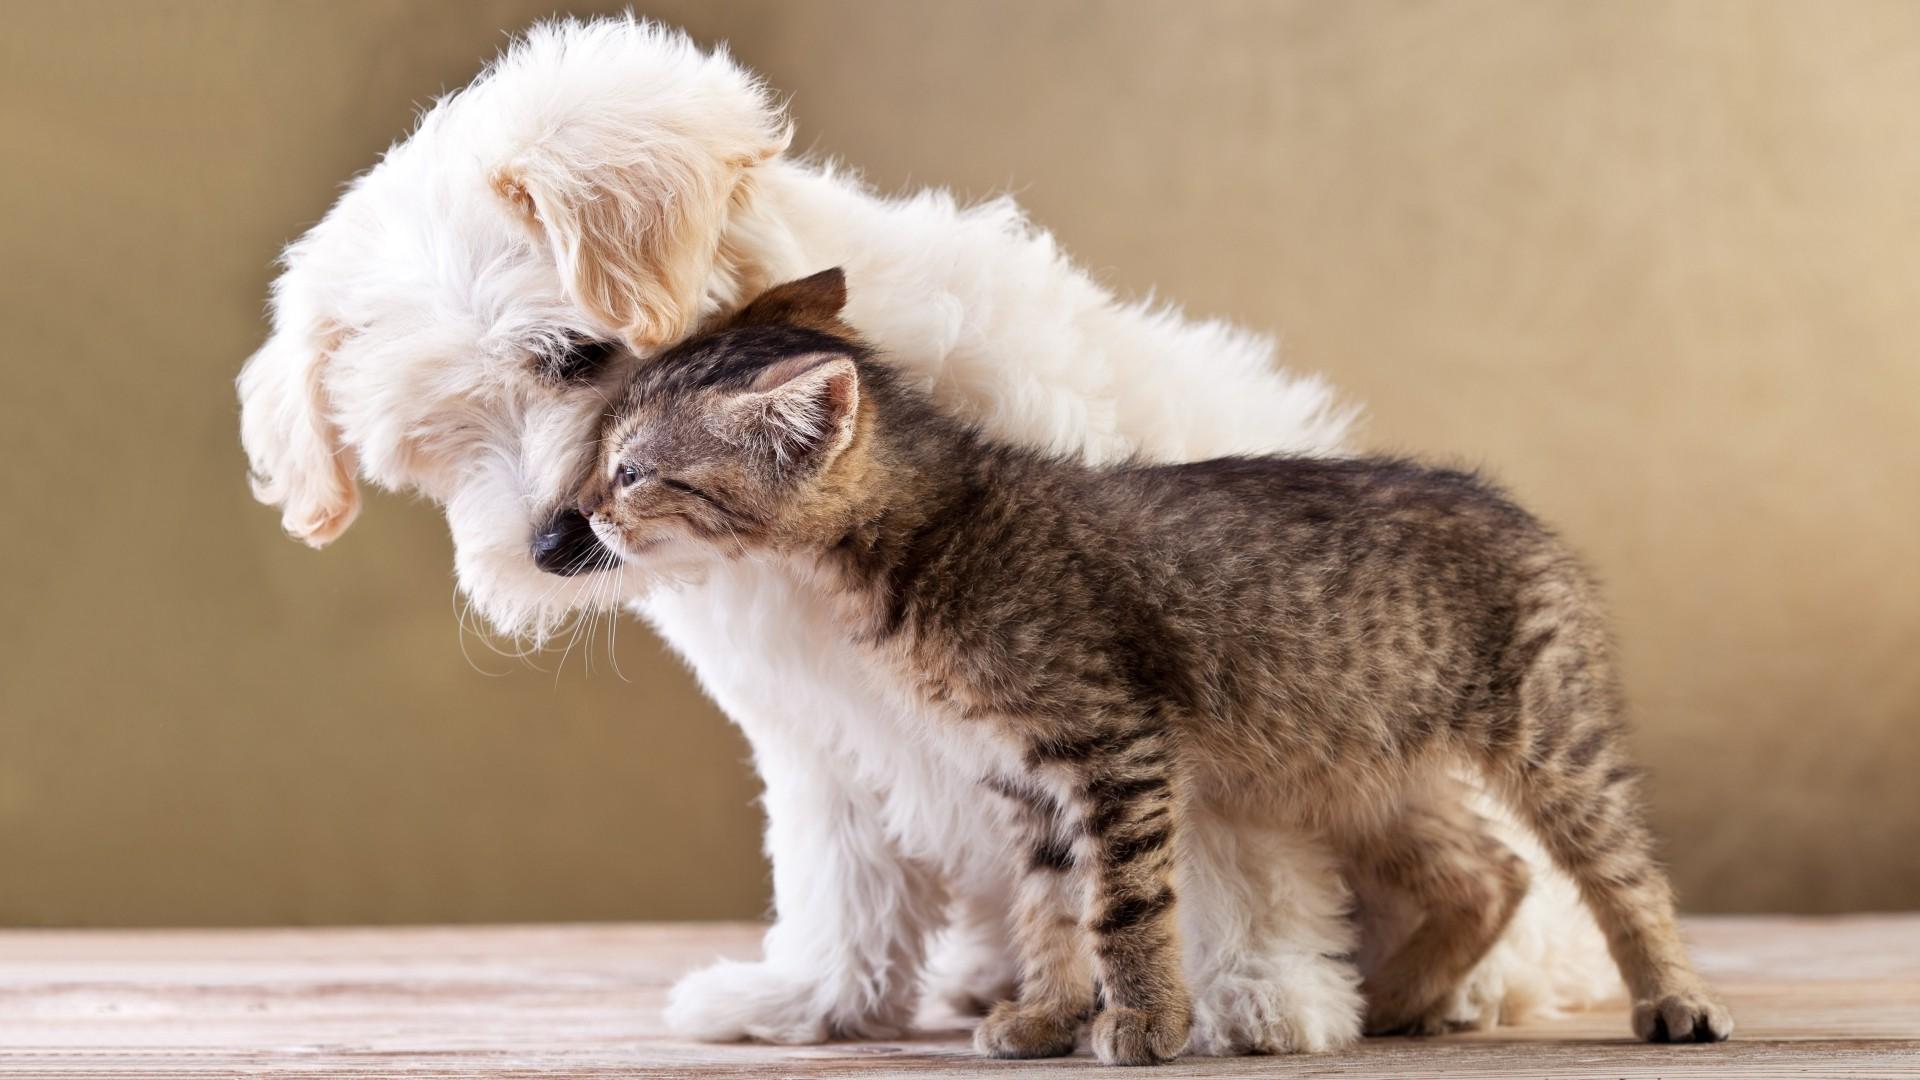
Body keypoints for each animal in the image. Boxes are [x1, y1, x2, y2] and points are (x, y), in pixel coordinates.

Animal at [236, 14, 1620, 1045]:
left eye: (575, 357)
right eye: (434, 449)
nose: (546, 548)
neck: (819, 527)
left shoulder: (1162, 666)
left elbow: (1215, 847)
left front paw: (1251, 993)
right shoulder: (816, 722)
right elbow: (839, 863)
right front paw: (815, 998)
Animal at [576, 267, 1735, 1060]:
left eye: (632, 472)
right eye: (604, 459)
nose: (578, 516)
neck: (931, 534)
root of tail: (1513, 506)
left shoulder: (1113, 745)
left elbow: (1123, 904)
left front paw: (1142, 1020)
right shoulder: (1024, 779)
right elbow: (1050, 910)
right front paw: (1045, 1013)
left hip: (1553, 738)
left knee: (1623, 869)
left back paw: (1674, 998)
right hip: (1356, 767)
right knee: (1490, 870)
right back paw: (1400, 1000)